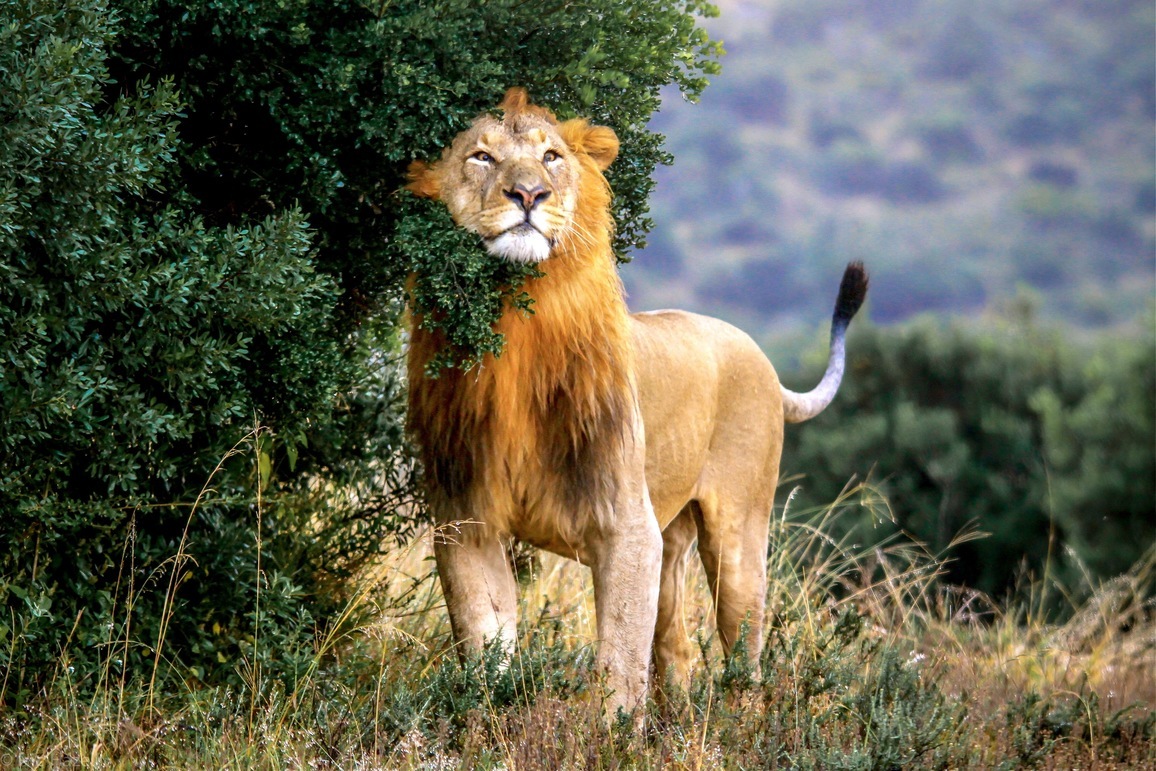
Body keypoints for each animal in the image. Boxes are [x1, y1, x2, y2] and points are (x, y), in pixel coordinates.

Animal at [406, 89, 869, 716]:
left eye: (551, 157)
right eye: (481, 156)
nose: (528, 195)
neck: (518, 326)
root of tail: (763, 361)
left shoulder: (627, 531)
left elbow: (618, 670)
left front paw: (610, 732)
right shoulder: (467, 525)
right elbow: (485, 653)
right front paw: (483, 720)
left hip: (738, 538)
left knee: (745, 656)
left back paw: (742, 721)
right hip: (672, 544)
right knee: (678, 649)